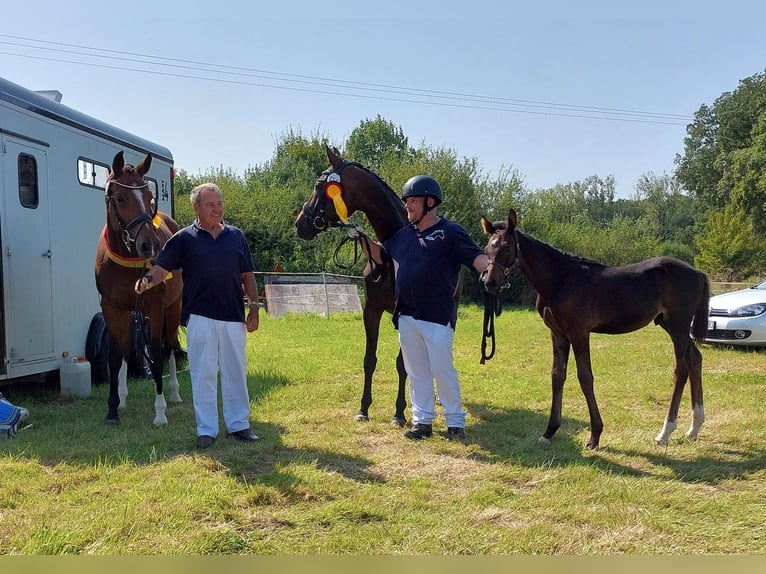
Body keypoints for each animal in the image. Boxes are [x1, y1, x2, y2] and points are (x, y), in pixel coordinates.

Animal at [94, 152, 184, 428]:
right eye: (120, 198)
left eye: (148, 196)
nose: (149, 246)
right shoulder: (111, 308)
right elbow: (115, 357)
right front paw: (113, 410)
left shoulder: (155, 307)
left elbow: (155, 357)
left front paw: (160, 412)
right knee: (126, 349)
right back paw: (123, 398)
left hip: (172, 308)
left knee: (170, 346)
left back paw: (174, 393)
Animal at [296, 147, 414, 428]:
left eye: (319, 185)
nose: (299, 223)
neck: (391, 257)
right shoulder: (371, 310)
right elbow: (369, 360)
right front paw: (363, 408)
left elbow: (402, 364)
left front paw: (399, 413)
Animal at [484, 209, 712, 452]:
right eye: (488, 246)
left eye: (507, 245)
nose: (489, 282)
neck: (561, 280)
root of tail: (698, 272)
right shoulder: (558, 334)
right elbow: (557, 376)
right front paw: (549, 432)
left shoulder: (579, 333)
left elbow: (585, 377)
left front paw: (595, 435)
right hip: (670, 326)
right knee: (695, 359)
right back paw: (694, 428)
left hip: (678, 327)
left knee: (681, 368)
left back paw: (665, 432)